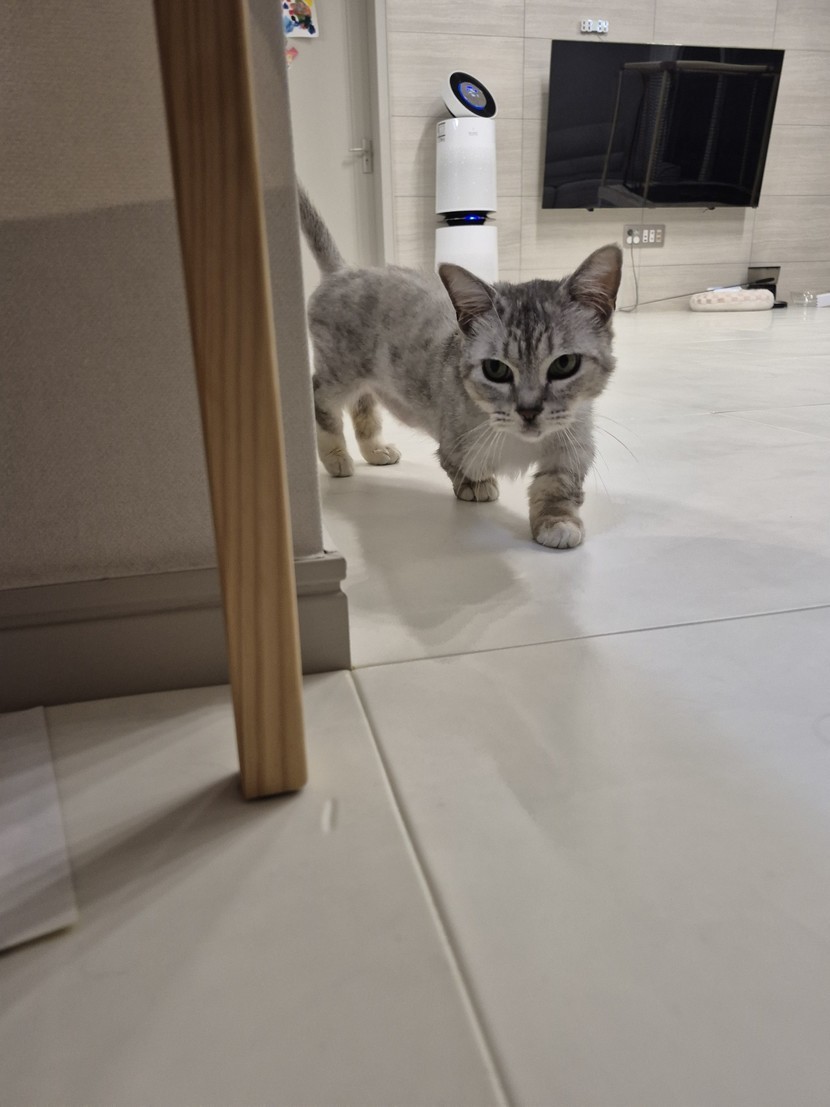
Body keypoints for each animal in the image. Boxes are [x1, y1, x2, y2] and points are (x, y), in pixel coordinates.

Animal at [298, 186, 622, 549]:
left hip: (366, 378)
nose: (528, 411)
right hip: (341, 370)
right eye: (496, 369)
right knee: (320, 398)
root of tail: (343, 271)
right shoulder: (455, 443)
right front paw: (475, 486)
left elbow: (559, 485)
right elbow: (460, 467)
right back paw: (336, 456)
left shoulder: (573, 443)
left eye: (564, 364)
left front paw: (558, 521)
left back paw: (376, 450)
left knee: (362, 407)